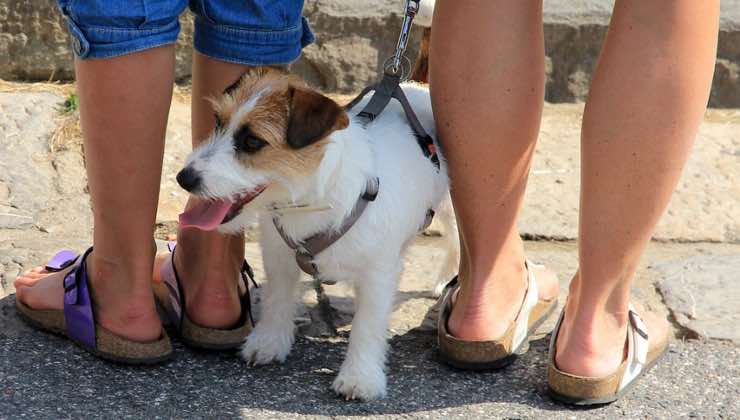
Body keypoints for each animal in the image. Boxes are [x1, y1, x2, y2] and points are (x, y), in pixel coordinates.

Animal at [176, 66, 454, 400]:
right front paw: (269, 342)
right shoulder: (279, 256)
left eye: (253, 141)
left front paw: (360, 376)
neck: (315, 200)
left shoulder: (377, 274)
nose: (184, 178)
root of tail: (413, 87)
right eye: (218, 122)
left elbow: (368, 324)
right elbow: (277, 298)